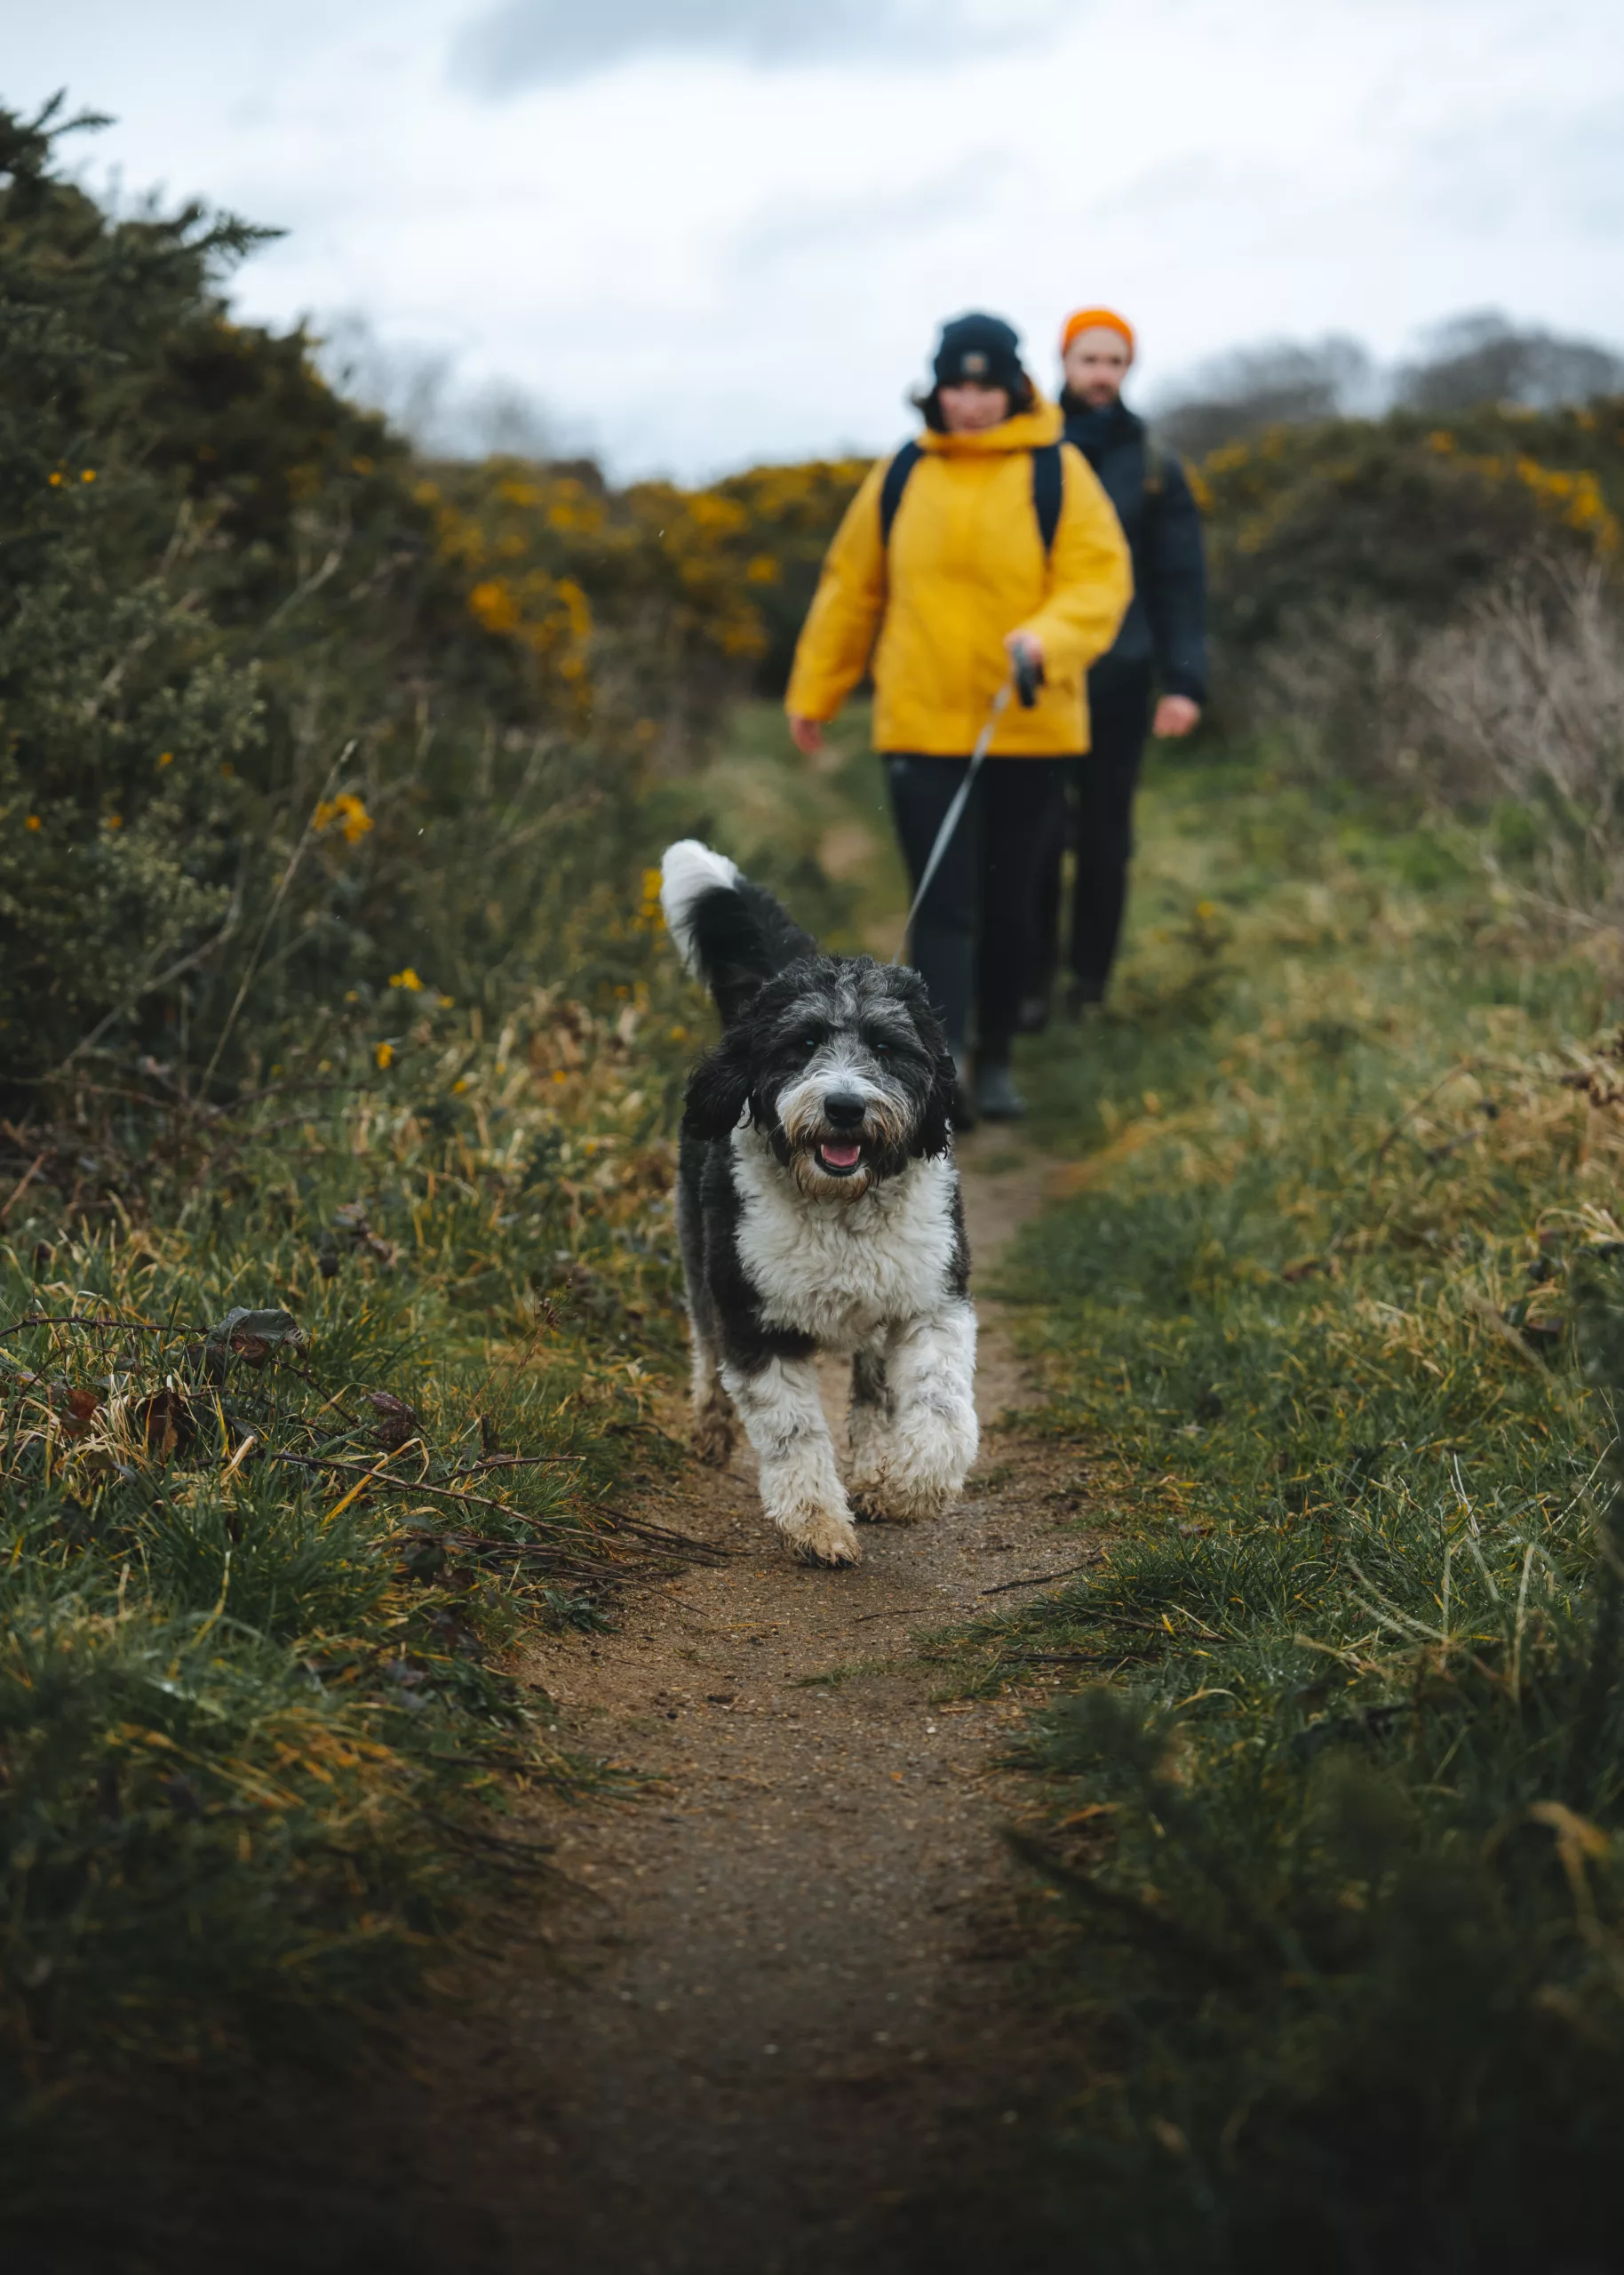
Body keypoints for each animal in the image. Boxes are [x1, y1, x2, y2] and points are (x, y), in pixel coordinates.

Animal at [659, 837, 973, 1565]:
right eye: (802, 1043)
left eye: (886, 1047)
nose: (845, 1106)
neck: (841, 1207)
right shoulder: (756, 1321)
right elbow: (792, 1434)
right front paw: (818, 1526)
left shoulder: (931, 1299)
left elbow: (940, 1403)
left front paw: (910, 1486)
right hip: (697, 1251)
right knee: (704, 1342)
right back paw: (711, 1423)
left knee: (873, 1388)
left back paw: (878, 1465)